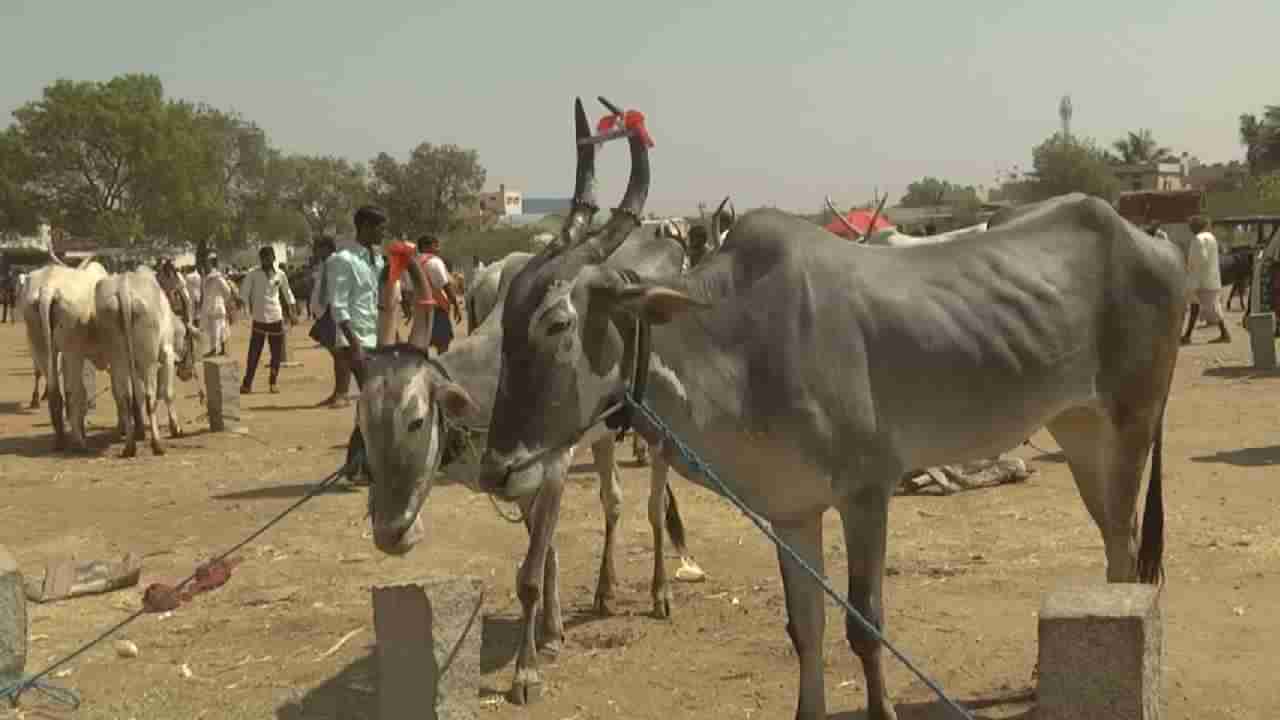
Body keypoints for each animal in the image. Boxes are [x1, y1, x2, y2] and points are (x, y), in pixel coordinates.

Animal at [19, 257, 112, 448]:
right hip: (71, 348)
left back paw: (61, 439)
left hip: (39, 340)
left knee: (55, 389)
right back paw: (79, 441)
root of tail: (48, 288)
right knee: (73, 390)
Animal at [358, 221, 701, 696]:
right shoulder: (516, 484)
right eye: (363, 425)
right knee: (612, 502)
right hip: (602, 436)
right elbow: (548, 554)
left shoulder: (555, 467)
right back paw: (605, 591)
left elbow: (530, 576)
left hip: (657, 434)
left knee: (653, 509)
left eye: (416, 420)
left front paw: (526, 670)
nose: (390, 534)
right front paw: (552, 633)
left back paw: (660, 592)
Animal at [478, 96, 1177, 717]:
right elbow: (804, 628)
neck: (741, 336)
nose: (497, 470)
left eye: (558, 321)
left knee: (1127, 553)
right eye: (503, 317)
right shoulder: (791, 511)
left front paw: (883, 708)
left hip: (1133, 421)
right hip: (1079, 429)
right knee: (1114, 539)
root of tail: (1145, 239)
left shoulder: (867, 494)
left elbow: (863, 626)